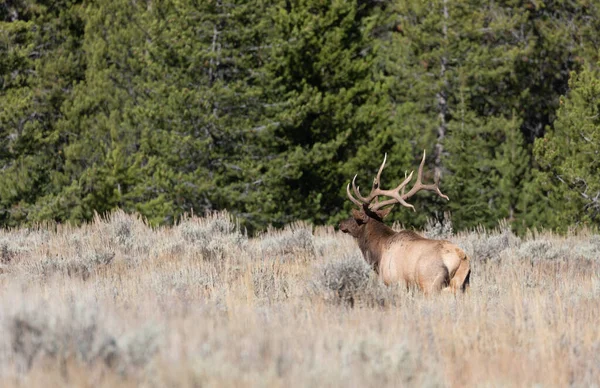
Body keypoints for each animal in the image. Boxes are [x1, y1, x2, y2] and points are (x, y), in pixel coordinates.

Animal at [340, 152, 472, 294]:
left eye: (356, 218)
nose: (341, 224)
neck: (378, 254)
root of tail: (460, 257)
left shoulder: (396, 282)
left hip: (430, 283)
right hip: (464, 284)